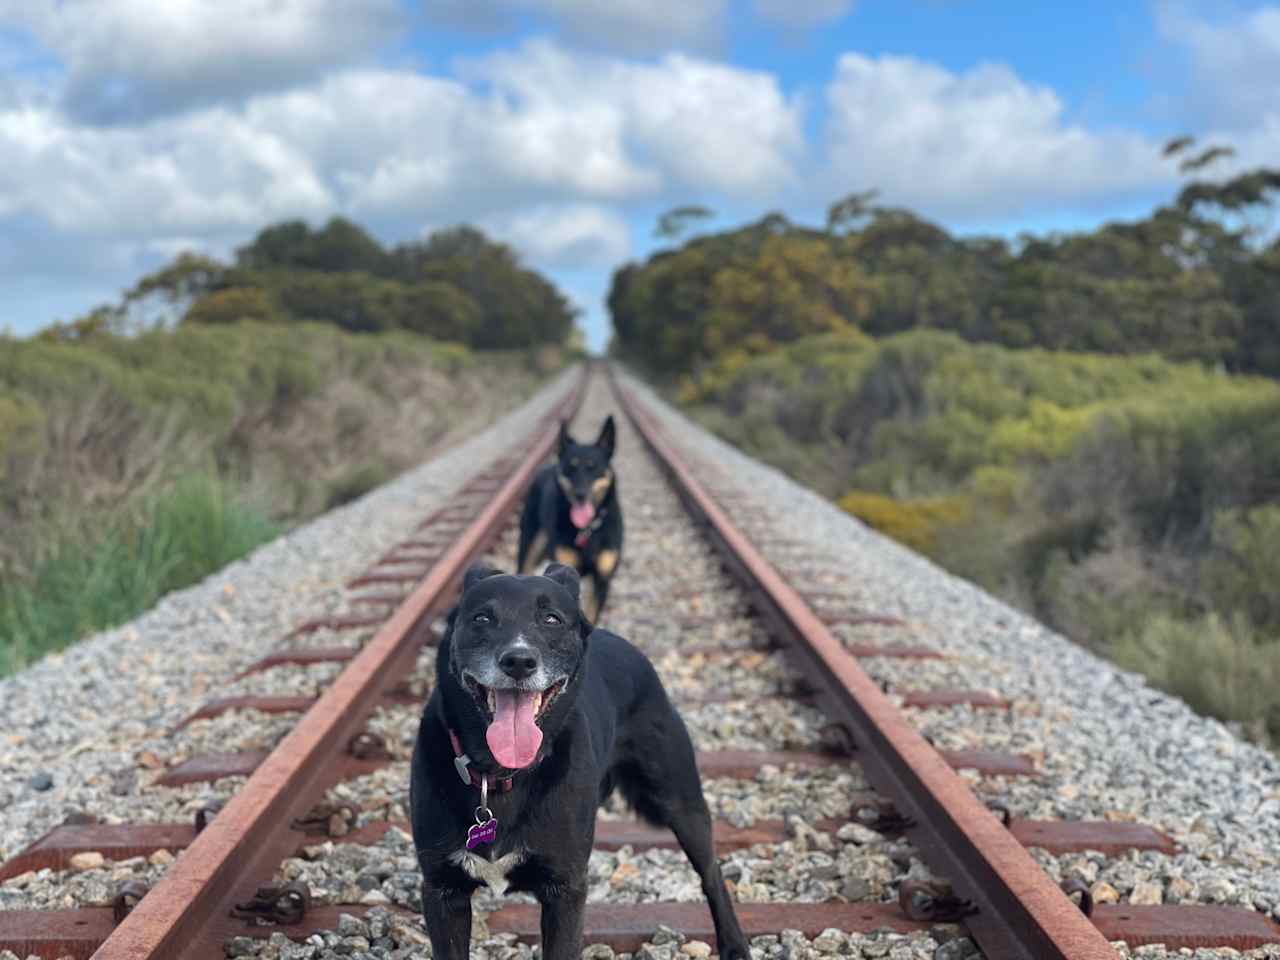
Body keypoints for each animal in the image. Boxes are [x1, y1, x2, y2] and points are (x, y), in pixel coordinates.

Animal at [409, 563, 747, 960]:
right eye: (482, 618)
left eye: (551, 619)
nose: (519, 661)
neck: (500, 774)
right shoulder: (442, 892)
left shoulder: (566, 891)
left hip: (681, 800)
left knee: (712, 873)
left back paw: (735, 945)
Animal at [517, 419, 622, 624]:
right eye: (570, 468)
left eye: (593, 467)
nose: (580, 495)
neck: (587, 529)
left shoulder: (602, 581)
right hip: (528, 540)